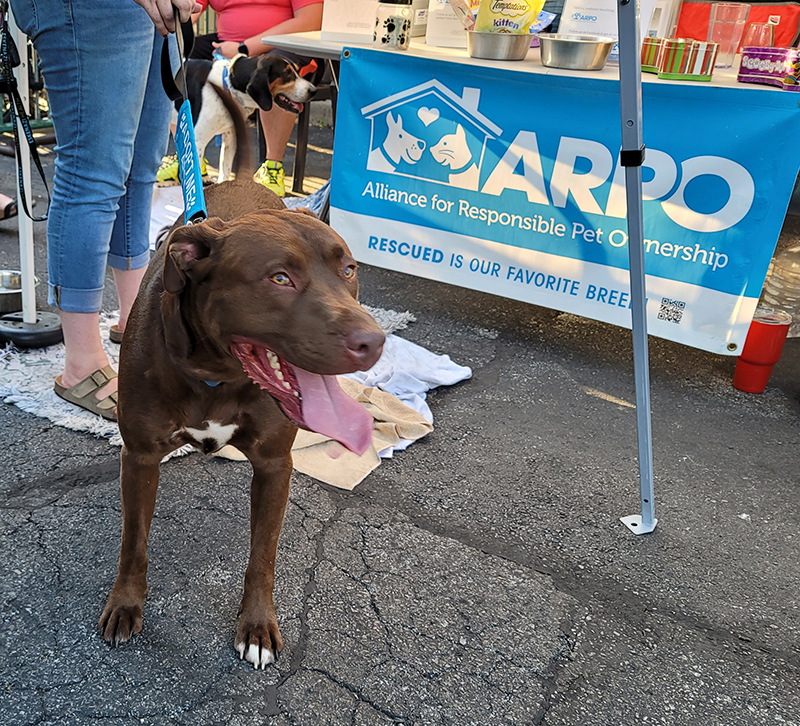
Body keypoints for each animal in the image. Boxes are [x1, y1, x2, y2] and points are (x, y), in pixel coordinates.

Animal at [98, 182, 386, 672]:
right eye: (279, 278)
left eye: (348, 270)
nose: (374, 341)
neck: (216, 372)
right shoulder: (138, 457)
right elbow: (133, 542)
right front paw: (125, 604)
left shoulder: (275, 465)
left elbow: (263, 555)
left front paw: (257, 625)